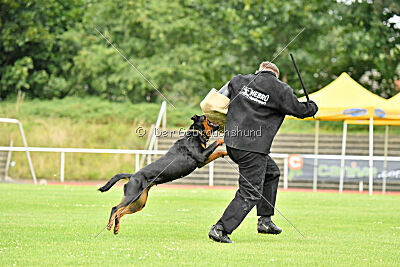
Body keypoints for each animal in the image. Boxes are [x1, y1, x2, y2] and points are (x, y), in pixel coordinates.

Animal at [98, 115, 227, 234]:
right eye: (204, 117)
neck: (195, 134)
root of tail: (132, 176)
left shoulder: (202, 161)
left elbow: (219, 152)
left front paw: (226, 152)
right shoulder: (201, 156)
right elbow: (216, 142)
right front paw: (223, 140)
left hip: (139, 202)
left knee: (120, 213)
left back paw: (116, 228)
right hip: (131, 196)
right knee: (115, 208)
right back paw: (109, 225)